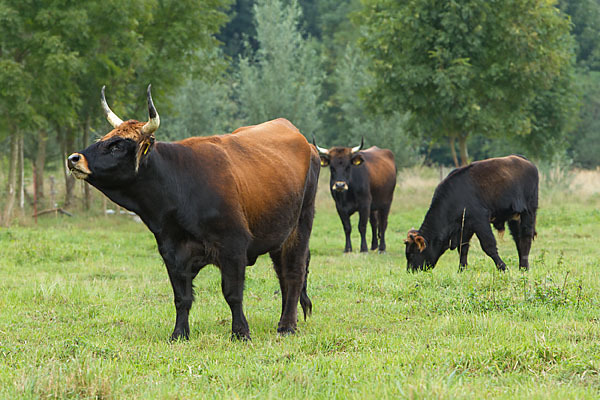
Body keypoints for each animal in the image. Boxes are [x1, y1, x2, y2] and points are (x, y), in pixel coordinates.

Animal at [66, 84, 322, 340]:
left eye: (117, 145)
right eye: (103, 139)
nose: (73, 158)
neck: (179, 184)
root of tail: (305, 142)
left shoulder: (233, 246)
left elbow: (233, 294)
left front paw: (240, 332)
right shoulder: (172, 251)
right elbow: (182, 298)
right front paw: (179, 333)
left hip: (300, 225)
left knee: (294, 273)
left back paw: (287, 326)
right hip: (279, 233)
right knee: (283, 274)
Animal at [404, 155, 540, 272]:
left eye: (412, 253)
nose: (411, 271)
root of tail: (526, 161)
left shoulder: (480, 221)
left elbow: (488, 246)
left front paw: (503, 267)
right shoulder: (464, 226)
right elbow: (462, 248)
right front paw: (461, 270)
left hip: (528, 212)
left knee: (526, 237)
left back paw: (524, 267)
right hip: (514, 218)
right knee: (518, 239)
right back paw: (522, 267)